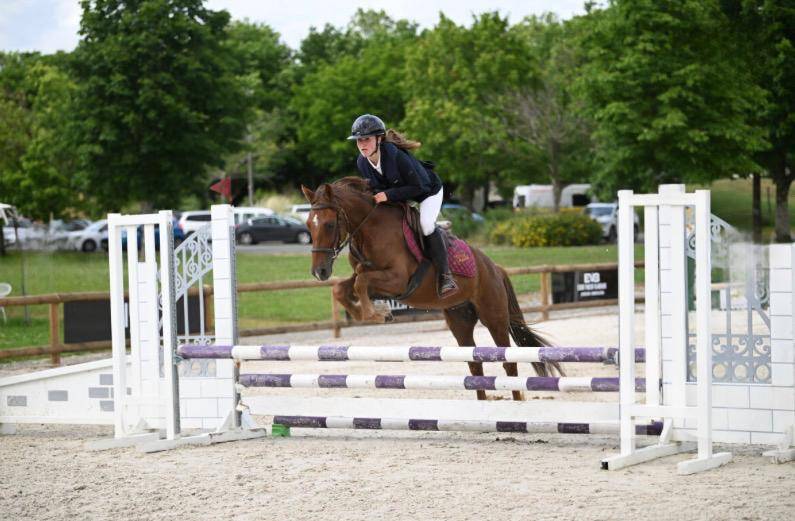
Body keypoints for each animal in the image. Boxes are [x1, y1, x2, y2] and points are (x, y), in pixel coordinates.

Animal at [301, 177, 562, 400]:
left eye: (329, 224)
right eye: (308, 225)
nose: (319, 271)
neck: (370, 229)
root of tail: (495, 268)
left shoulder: (398, 280)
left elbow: (361, 282)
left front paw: (375, 314)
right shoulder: (371, 277)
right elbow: (343, 288)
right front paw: (377, 313)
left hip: (494, 317)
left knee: (508, 362)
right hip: (459, 319)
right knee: (474, 363)